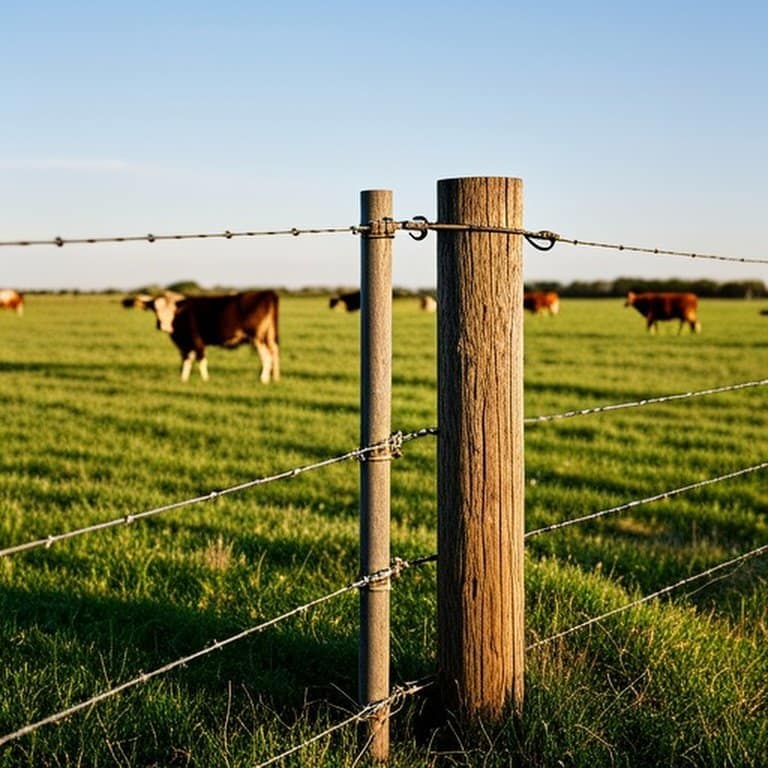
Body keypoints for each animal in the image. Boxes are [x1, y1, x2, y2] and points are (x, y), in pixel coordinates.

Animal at [149, 290, 280, 382]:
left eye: (172, 310)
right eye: (155, 309)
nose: (161, 325)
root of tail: (268, 293)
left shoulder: (197, 340)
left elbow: (201, 360)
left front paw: (205, 380)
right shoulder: (185, 344)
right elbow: (186, 361)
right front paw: (183, 379)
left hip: (257, 337)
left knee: (267, 357)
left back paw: (263, 379)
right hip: (268, 336)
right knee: (274, 353)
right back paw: (275, 378)